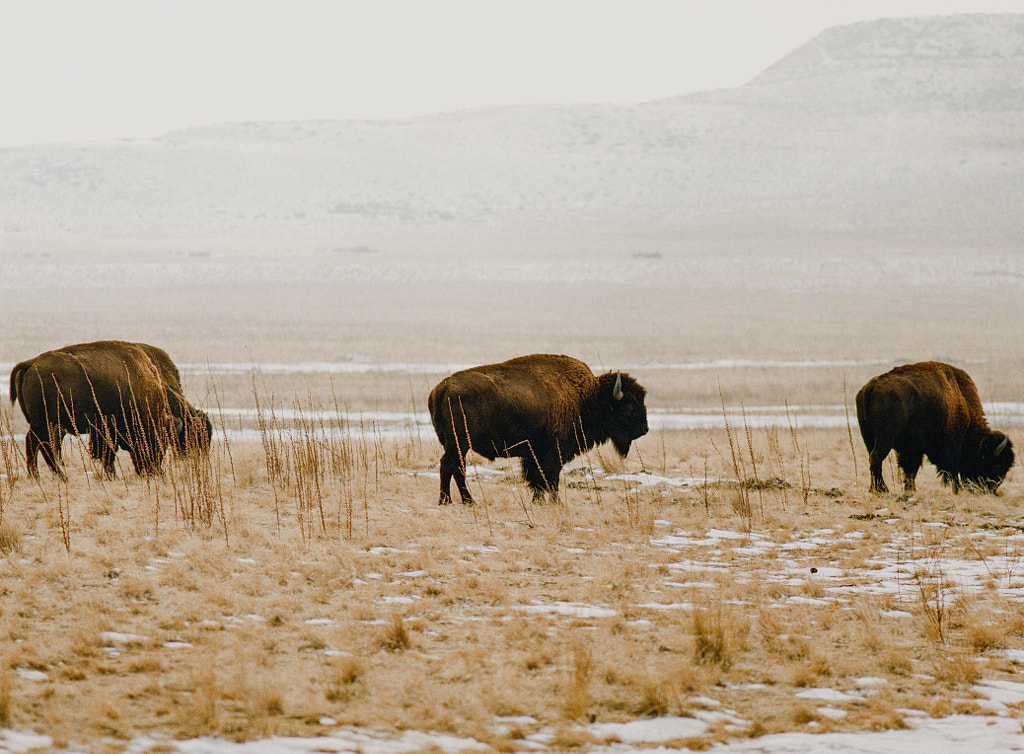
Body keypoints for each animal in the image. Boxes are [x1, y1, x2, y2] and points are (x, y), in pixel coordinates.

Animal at [10, 341, 211, 479]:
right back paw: (55, 477)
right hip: (44, 423)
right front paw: (112, 476)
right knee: (38, 444)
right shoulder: (106, 430)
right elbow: (107, 454)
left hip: (47, 424)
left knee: (40, 445)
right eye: (157, 440)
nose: (153, 471)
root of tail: (31, 363)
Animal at [428, 354, 648, 504]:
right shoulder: (553, 453)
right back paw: (459, 501)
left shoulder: (534, 454)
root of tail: (441, 388)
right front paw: (556, 503)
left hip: (455, 444)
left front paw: (539, 501)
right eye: (629, 406)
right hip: (460, 442)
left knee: (453, 466)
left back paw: (454, 500)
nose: (644, 429)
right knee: (451, 465)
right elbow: (549, 478)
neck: (587, 398)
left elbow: (538, 479)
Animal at [856, 361, 1014, 494]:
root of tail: (870, 387)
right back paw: (882, 489)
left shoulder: (913, 449)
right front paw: (957, 490)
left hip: (868, 436)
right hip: (885, 438)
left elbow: (910, 469)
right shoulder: (949, 448)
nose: (989, 490)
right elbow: (951, 470)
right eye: (996, 465)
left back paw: (875, 489)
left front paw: (911, 489)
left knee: (872, 458)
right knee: (876, 457)